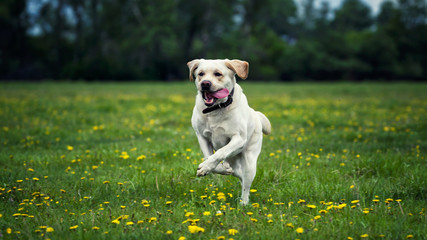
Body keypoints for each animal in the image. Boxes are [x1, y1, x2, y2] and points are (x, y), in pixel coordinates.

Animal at [186, 58, 270, 204]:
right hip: (234, 161)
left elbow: (220, 152)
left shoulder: (239, 138)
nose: (205, 83)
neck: (216, 109)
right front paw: (211, 168)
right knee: (239, 174)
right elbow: (209, 157)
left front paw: (206, 167)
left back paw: (243, 203)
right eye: (201, 73)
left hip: (249, 162)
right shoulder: (201, 136)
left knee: (246, 185)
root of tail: (256, 115)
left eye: (218, 74)